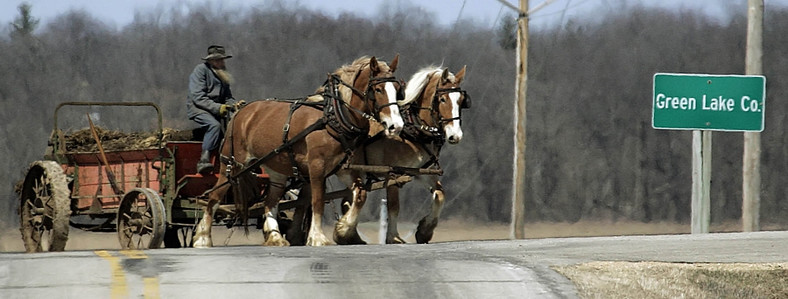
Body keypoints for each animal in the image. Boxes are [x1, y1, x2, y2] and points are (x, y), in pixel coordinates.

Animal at [193, 55, 404, 247]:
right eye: (378, 89)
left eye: (397, 90)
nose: (396, 125)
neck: (334, 116)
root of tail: (240, 112)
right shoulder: (316, 166)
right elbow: (317, 200)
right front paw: (318, 237)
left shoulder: (345, 168)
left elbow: (360, 195)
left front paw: (343, 230)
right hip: (232, 164)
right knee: (214, 197)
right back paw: (202, 238)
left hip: (276, 170)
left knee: (270, 202)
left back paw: (275, 237)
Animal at [332, 64, 468, 245]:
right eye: (442, 99)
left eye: (461, 100)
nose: (455, 136)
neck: (411, 130)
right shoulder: (393, 173)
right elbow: (394, 206)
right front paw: (394, 237)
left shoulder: (420, 172)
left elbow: (440, 194)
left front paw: (424, 231)